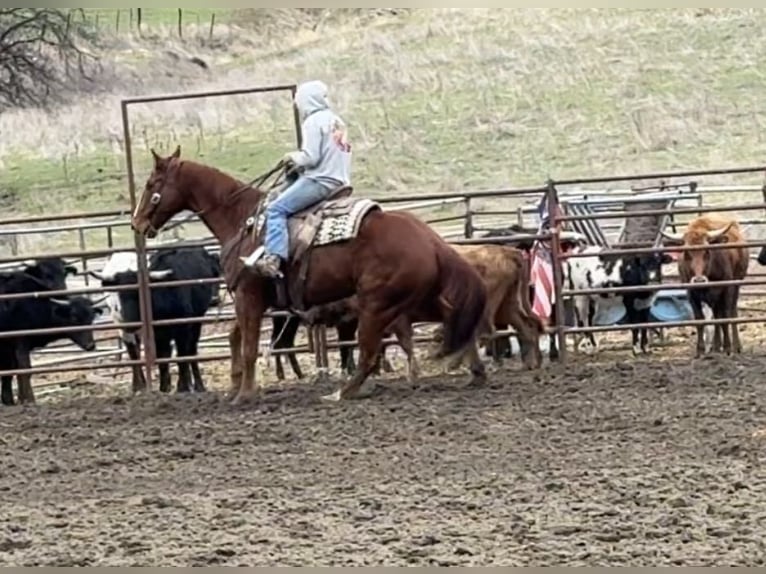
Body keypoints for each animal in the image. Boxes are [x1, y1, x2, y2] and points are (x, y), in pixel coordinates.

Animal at [130, 146, 508, 405]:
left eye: (151, 183)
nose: (136, 222)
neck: (243, 219)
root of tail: (431, 238)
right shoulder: (251, 301)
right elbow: (238, 338)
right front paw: (237, 387)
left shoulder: (250, 296)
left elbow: (249, 345)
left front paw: (244, 395)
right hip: (413, 300)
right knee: (455, 320)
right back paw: (474, 371)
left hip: (377, 305)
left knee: (369, 353)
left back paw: (342, 392)